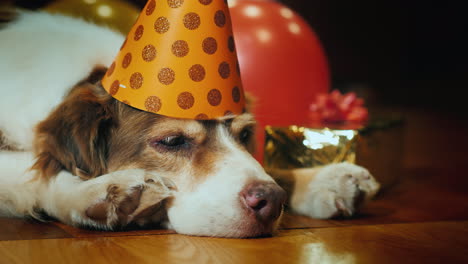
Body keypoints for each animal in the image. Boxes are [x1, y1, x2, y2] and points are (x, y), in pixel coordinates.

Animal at [0, 9, 380, 237]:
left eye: (245, 134)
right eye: (171, 142)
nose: (271, 201)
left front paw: (324, 180)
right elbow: (31, 170)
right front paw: (96, 193)